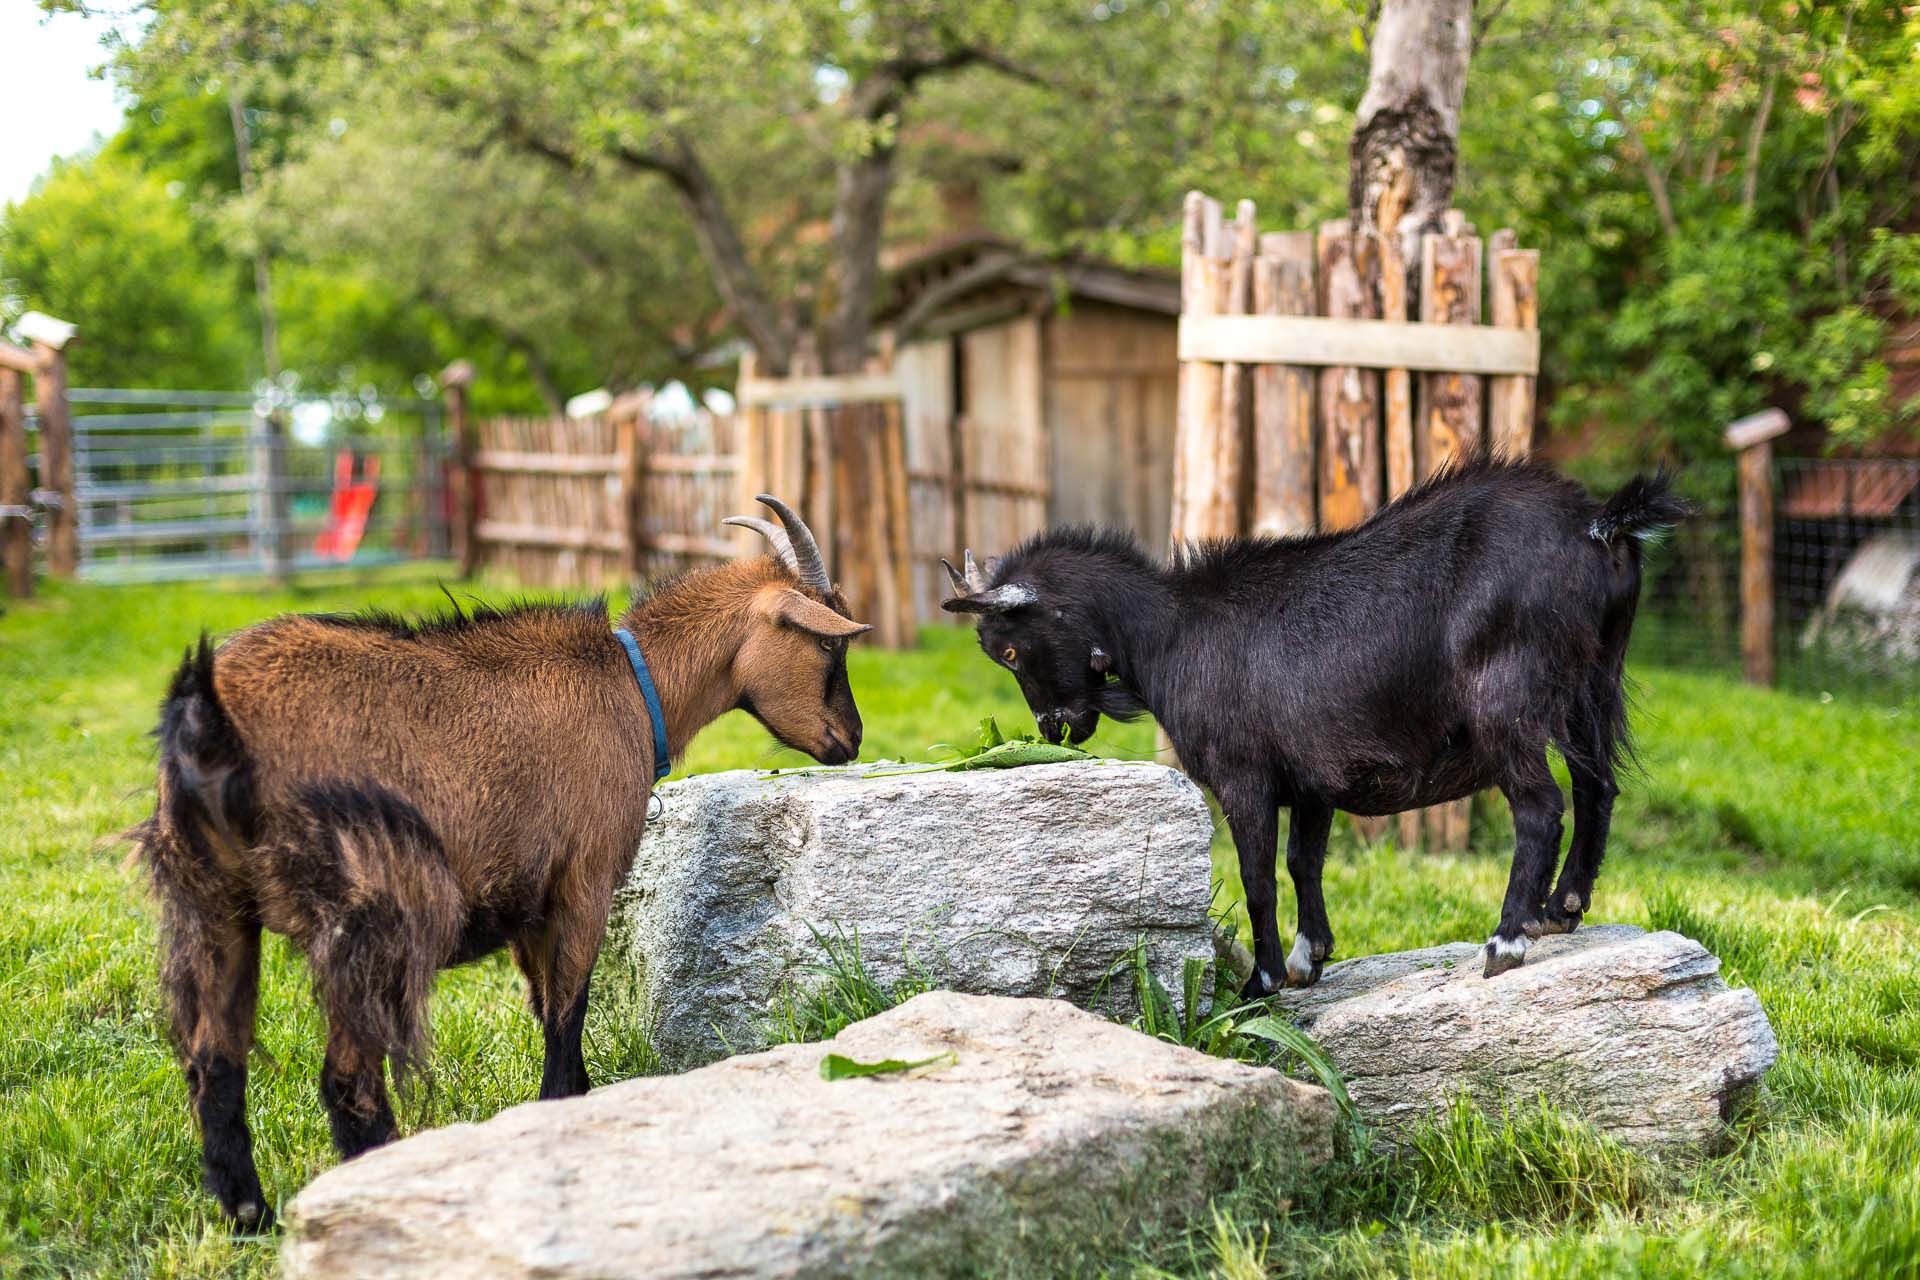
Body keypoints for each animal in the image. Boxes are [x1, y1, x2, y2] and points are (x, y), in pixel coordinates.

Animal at [130, 496, 867, 1229]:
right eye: (829, 642)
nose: (852, 740)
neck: (633, 688)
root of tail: (209, 712)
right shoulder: (585, 881)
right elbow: (568, 1012)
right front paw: (559, 1113)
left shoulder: (527, 905)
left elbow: (544, 1006)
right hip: (370, 909)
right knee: (347, 1076)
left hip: (211, 901)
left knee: (214, 1062)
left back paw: (249, 1217)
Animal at [943, 453, 1686, 999]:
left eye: (1009, 650)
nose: (1054, 726)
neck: (1169, 630)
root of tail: (1599, 524)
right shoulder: (1313, 780)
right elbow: (1304, 861)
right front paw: (1311, 958)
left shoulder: (1243, 776)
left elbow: (1256, 874)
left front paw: (1262, 983)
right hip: (1593, 683)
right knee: (1597, 788)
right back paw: (1561, 908)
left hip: (1507, 699)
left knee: (1540, 806)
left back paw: (1507, 939)